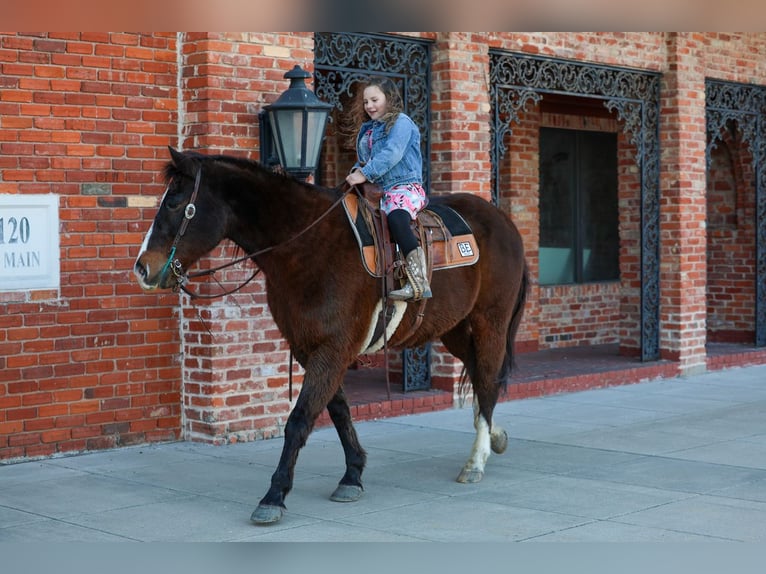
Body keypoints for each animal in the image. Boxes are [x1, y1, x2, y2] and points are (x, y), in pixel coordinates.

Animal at [134, 147, 528, 525]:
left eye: (174, 203)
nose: (142, 268)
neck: (306, 246)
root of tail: (504, 222)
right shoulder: (310, 347)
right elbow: (337, 411)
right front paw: (352, 474)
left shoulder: (334, 349)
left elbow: (300, 419)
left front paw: (274, 495)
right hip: (456, 330)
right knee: (479, 375)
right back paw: (493, 436)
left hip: (490, 323)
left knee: (488, 379)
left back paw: (476, 460)